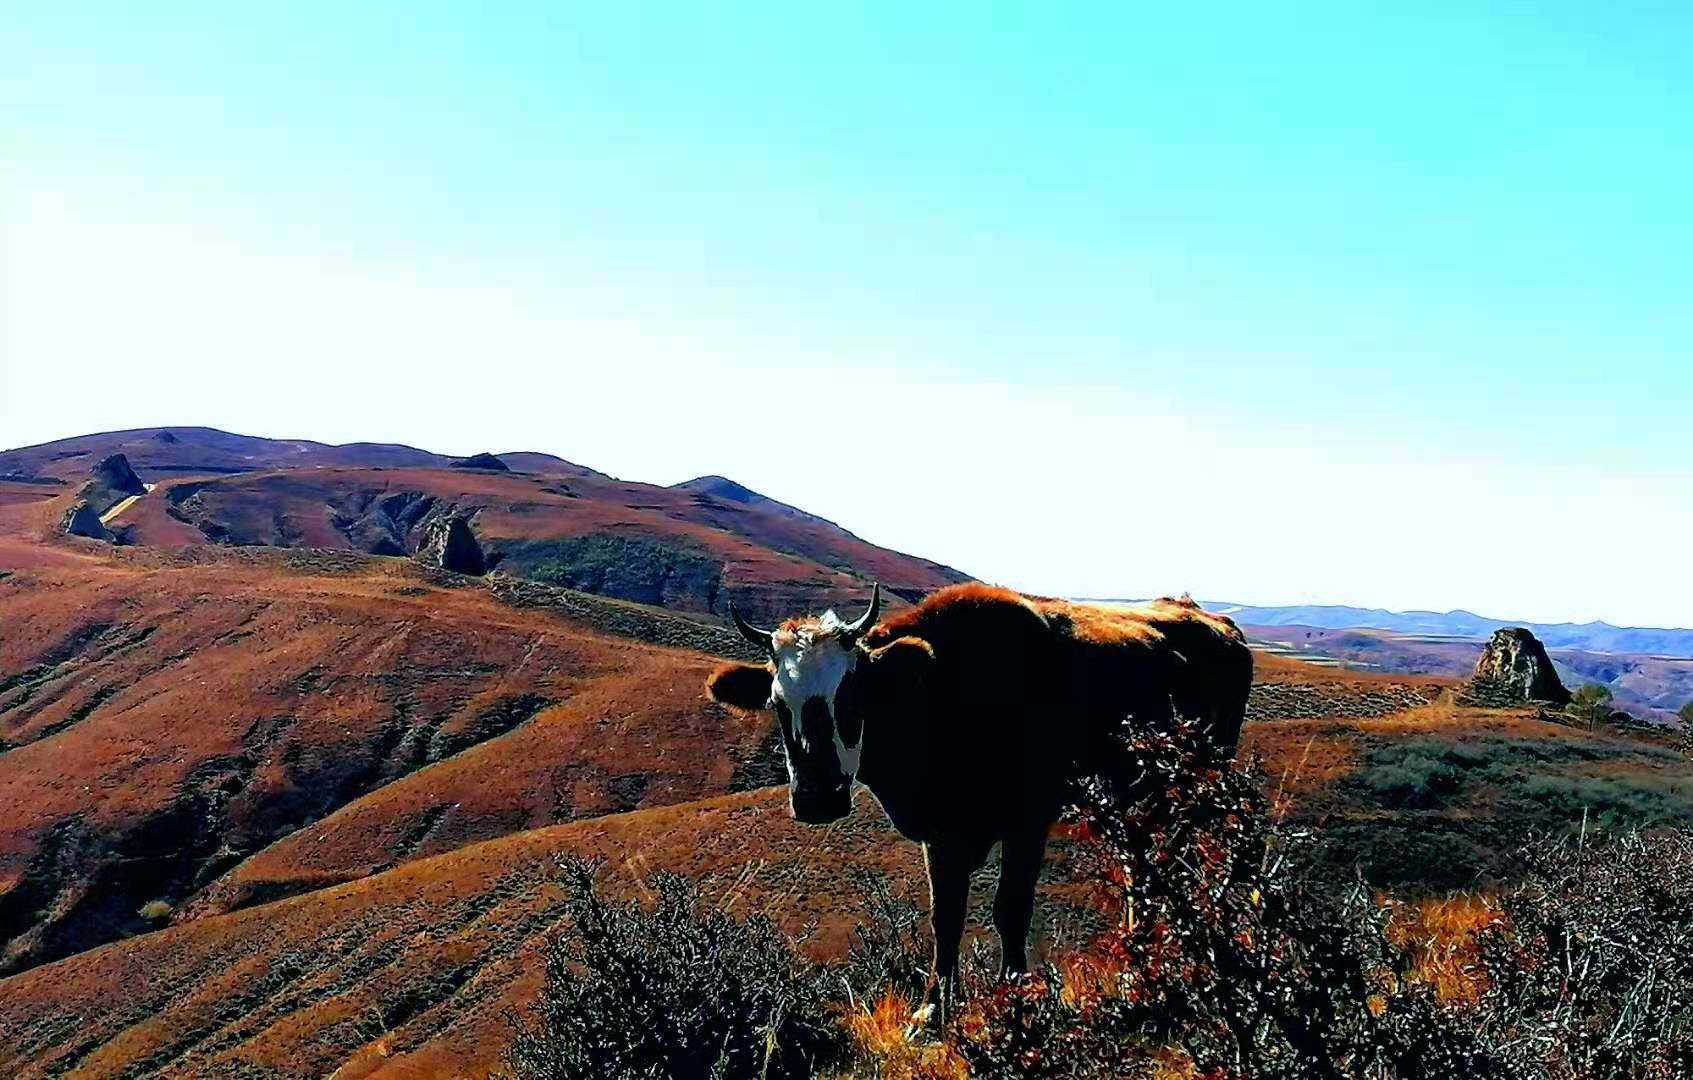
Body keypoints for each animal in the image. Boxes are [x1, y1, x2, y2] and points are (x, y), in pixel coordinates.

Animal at [704, 582, 1259, 1015]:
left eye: (851, 696)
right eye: (778, 703)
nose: (817, 798)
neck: (944, 694)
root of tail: (1214, 621)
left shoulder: (1028, 820)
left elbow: (1010, 909)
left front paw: (1017, 996)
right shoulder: (939, 832)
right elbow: (945, 916)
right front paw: (933, 1009)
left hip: (1202, 780)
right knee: (1139, 868)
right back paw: (1135, 963)